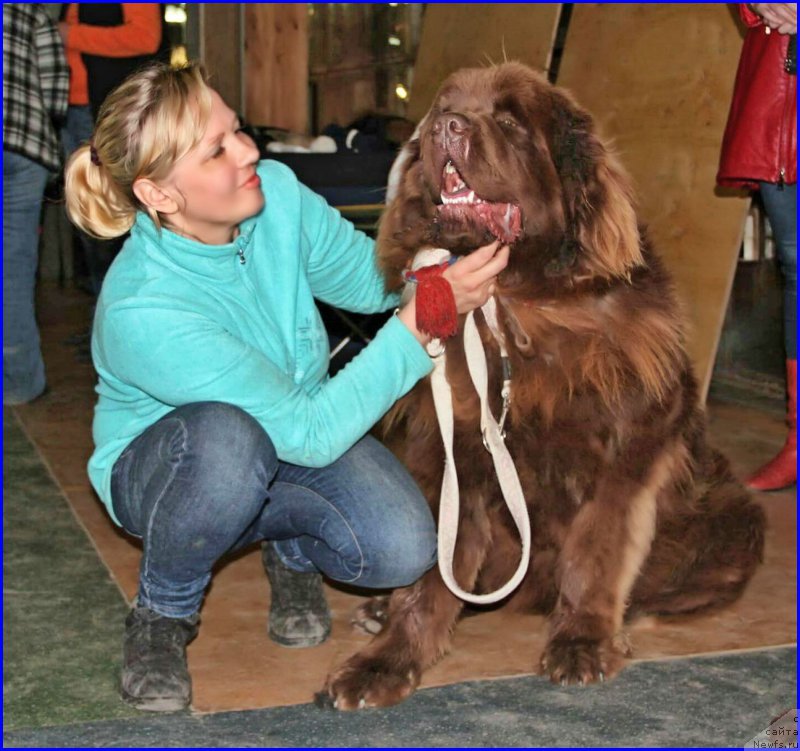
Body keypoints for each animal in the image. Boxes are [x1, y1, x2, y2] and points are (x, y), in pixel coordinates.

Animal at [318, 63, 764, 712]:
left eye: (509, 122)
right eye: (444, 108)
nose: (446, 128)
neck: (516, 302)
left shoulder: (624, 459)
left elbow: (596, 552)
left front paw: (583, 642)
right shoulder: (454, 457)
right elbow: (433, 574)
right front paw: (388, 659)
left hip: (735, 514)